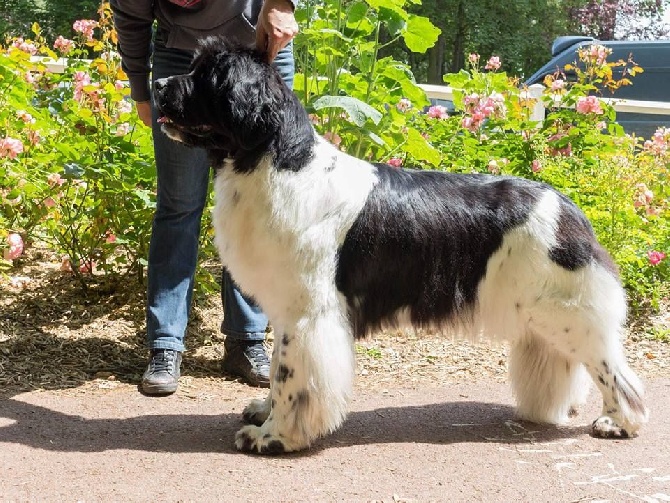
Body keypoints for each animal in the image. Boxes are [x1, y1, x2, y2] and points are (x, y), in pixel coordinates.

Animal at [155, 37, 648, 454]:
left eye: (204, 76)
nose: (158, 84)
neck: (275, 161)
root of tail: (568, 208)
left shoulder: (309, 312)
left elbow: (292, 377)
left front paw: (273, 437)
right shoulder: (286, 306)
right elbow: (277, 367)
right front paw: (263, 413)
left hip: (567, 311)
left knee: (614, 369)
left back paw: (619, 422)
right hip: (542, 313)